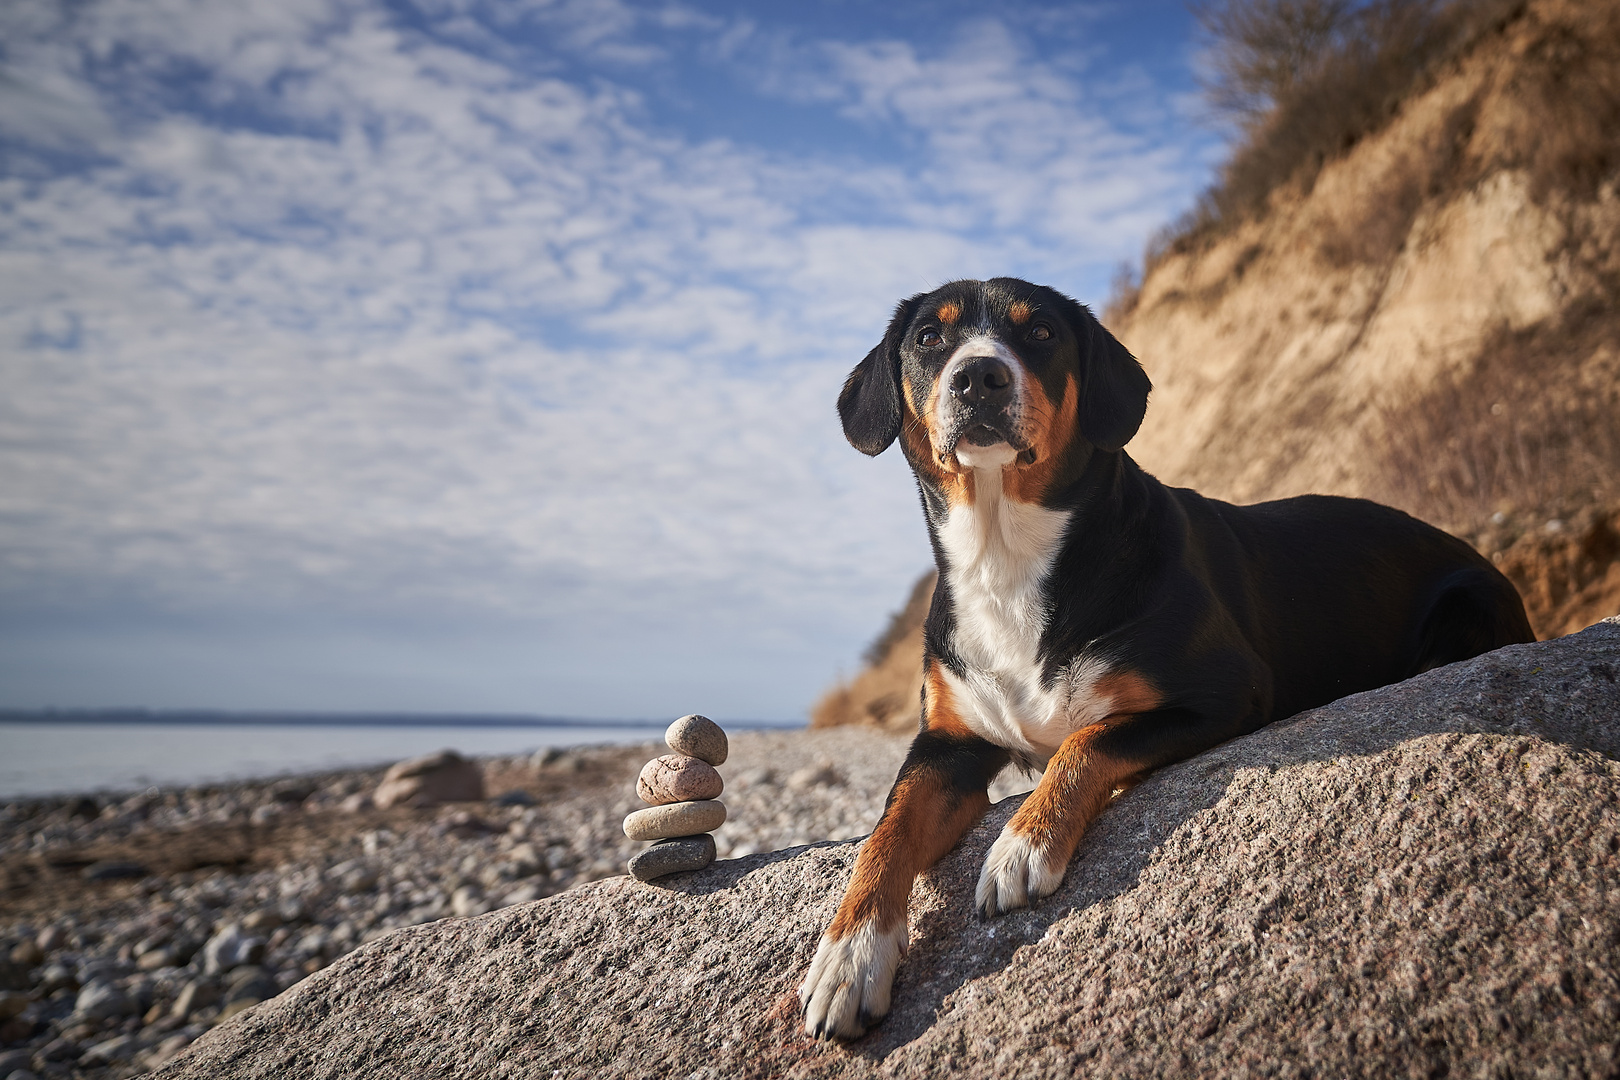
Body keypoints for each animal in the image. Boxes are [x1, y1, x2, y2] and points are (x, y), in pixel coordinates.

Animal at [797, 276, 1529, 1036]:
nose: (979, 376)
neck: (1007, 560)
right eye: (930, 339)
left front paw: (1024, 842)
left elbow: (1087, 740)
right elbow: (885, 835)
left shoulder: (1224, 691)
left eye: (1040, 333)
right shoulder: (947, 742)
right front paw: (848, 957)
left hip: (1468, 603)